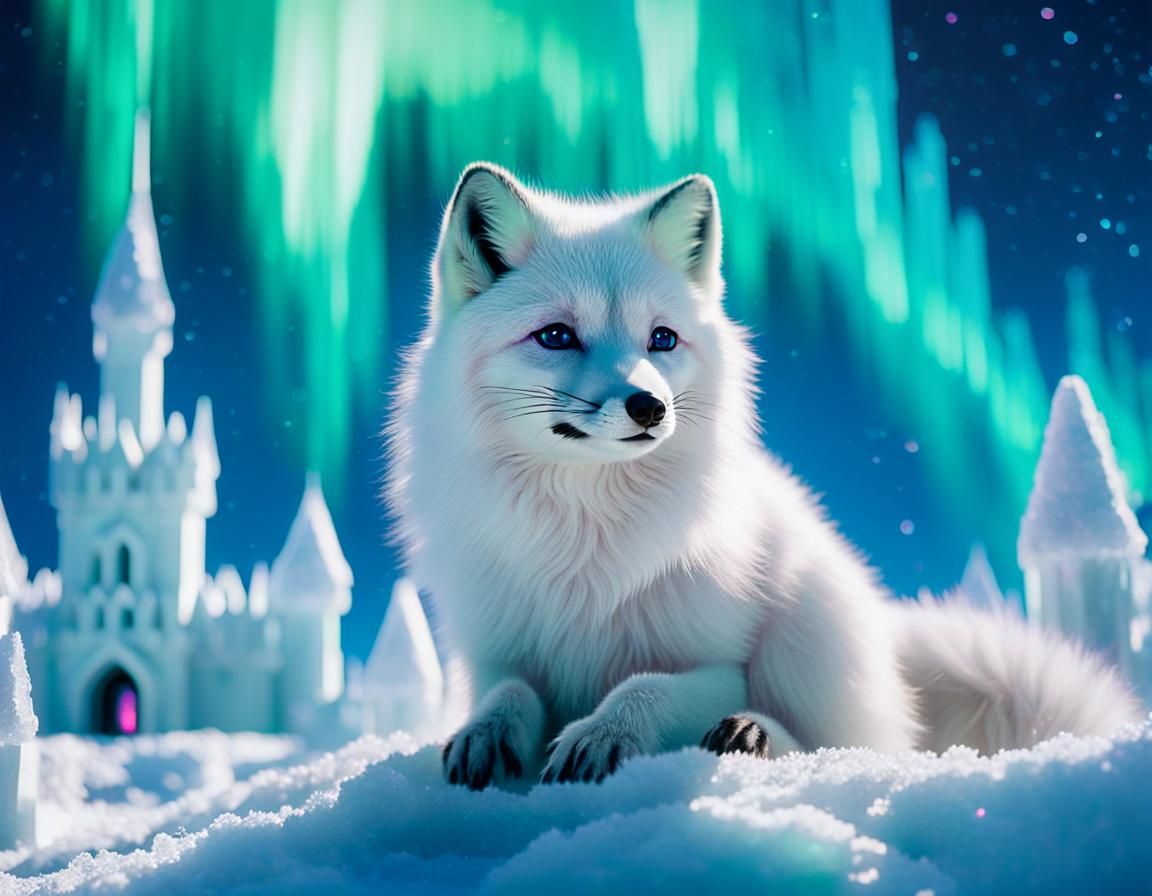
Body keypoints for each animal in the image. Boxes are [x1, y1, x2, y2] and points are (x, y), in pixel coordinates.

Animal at [387, 162, 1141, 789]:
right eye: (555, 336)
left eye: (661, 338)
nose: (649, 406)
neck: (584, 532)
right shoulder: (494, 653)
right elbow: (508, 692)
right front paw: (484, 734)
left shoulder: (719, 662)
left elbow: (647, 687)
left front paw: (601, 734)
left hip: (804, 626)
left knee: (844, 743)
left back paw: (750, 736)